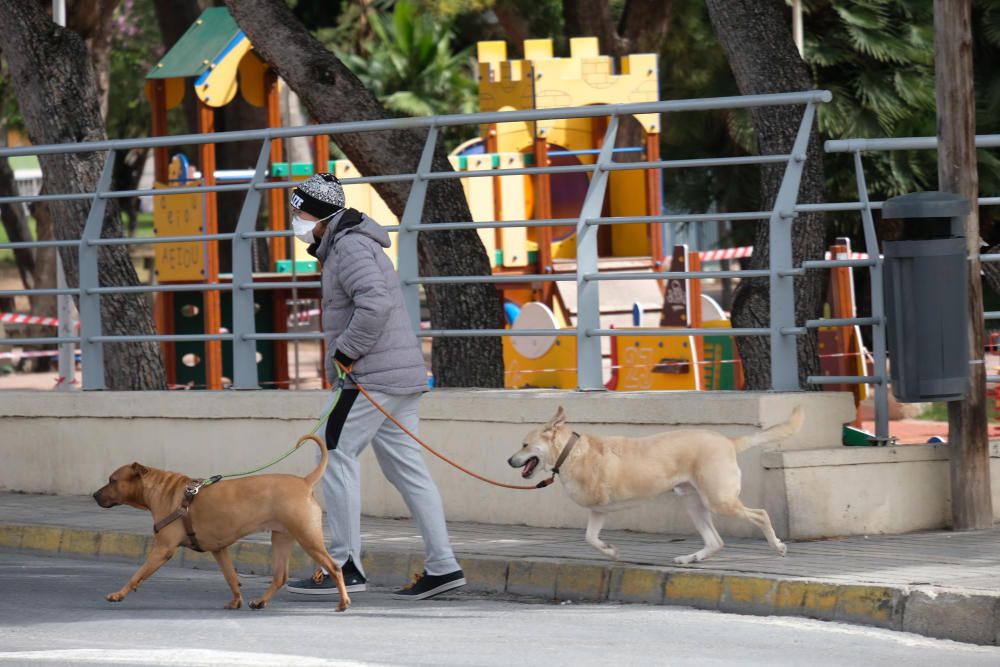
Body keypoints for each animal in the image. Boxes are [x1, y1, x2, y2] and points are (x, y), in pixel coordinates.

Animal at [94, 436, 350, 612]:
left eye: (112, 480)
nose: (95, 495)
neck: (161, 489)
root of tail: (305, 482)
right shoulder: (219, 550)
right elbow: (231, 577)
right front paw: (236, 600)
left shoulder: (162, 549)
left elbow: (137, 574)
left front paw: (119, 594)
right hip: (281, 537)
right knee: (280, 576)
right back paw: (260, 601)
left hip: (308, 538)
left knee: (334, 567)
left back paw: (343, 602)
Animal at [508, 408, 804, 564]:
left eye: (524, 444)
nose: (510, 460)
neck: (571, 452)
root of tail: (729, 442)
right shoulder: (598, 511)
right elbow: (590, 538)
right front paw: (610, 550)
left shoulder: (599, 508)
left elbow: (591, 538)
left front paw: (610, 549)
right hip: (694, 505)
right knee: (715, 541)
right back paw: (690, 559)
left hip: (720, 501)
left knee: (760, 515)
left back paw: (777, 546)